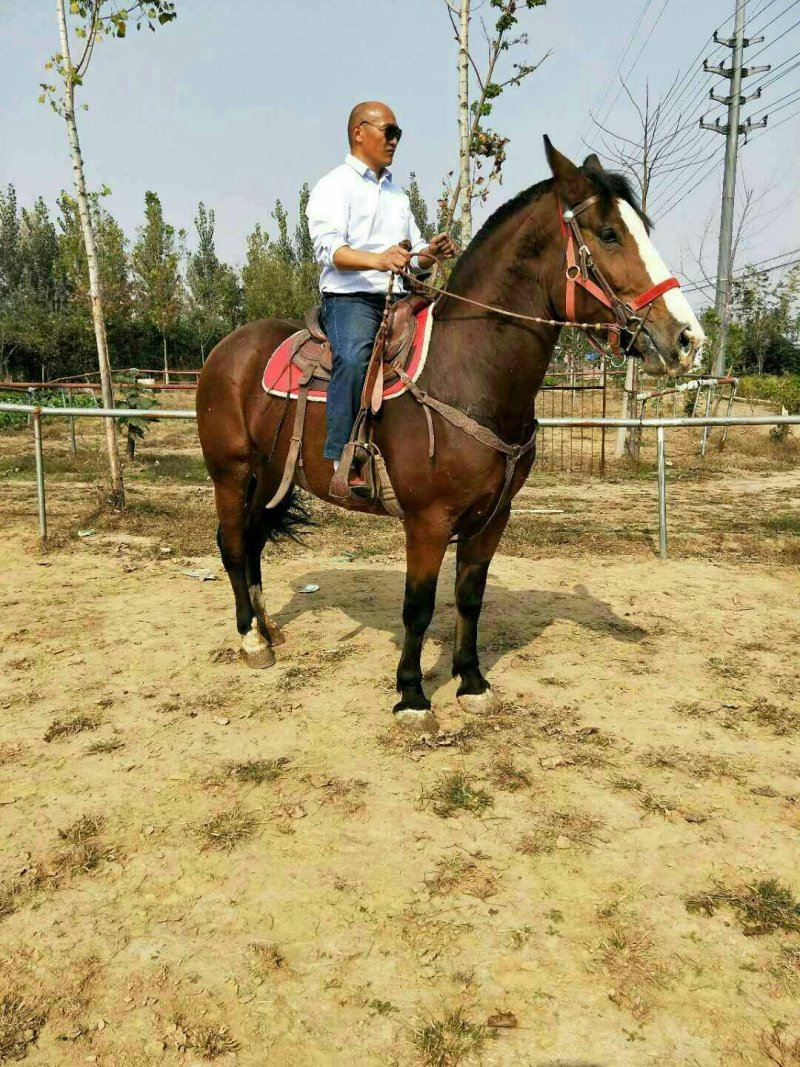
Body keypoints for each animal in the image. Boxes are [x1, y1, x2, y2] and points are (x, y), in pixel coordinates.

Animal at [196, 138, 705, 728]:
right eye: (608, 233)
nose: (687, 338)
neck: (467, 372)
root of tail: (225, 350)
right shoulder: (428, 521)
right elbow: (418, 607)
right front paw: (412, 696)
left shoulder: (493, 516)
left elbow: (469, 597)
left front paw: (472, 681)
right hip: (231, 474)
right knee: (234, 545)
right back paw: (251, 640)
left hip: (273, 474)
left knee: (254, 540)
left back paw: (268, 628)